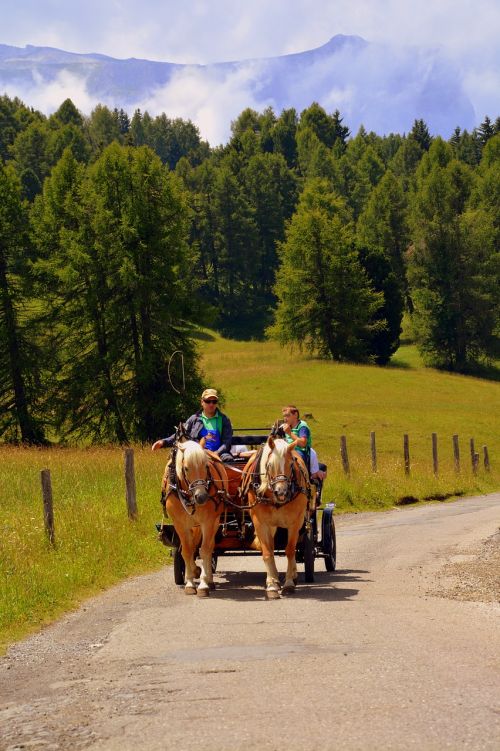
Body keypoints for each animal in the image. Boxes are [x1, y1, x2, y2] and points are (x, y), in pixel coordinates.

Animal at [160, 428, 229, 600]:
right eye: (186, 468)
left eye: (206, 466)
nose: (202, 497)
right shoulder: (180, 524)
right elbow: (187, 550)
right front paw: (190, 582)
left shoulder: (208, 521)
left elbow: (204, 550)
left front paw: (203, 584)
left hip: (214, 521)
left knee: (209, 548)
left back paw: (209, 579)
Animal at [240, 434, 310, 600]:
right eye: (269, 465)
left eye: (291, 464)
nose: (281, 492)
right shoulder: (260, 523)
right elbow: (267, 552)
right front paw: (272, 584)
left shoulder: (295, 523)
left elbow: (290, 550)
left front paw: (289, 584)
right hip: (271, 525)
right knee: (270, 547)